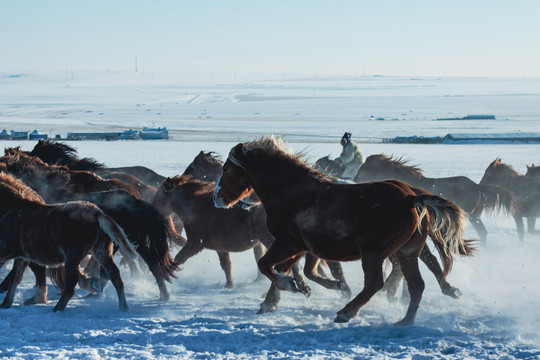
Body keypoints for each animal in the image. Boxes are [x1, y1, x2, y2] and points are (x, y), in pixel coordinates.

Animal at [213, 136, 474, 326]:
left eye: (227, 169)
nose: (217, 199)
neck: (291, 191)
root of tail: (411, 198)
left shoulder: (288, 243)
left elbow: (268, 266)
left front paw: (293, 287)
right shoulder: (300, 246)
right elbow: (290, 270)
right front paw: (277, 299)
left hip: (374, 253)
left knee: (376, 283)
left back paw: (347, 312)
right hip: (407, 251)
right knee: (417, 284)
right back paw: (405, 321)